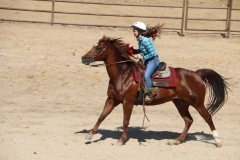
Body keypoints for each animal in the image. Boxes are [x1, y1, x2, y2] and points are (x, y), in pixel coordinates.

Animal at [82, 35, 229, 147]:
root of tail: (196, 74)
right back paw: (177, 140)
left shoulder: (128, 102)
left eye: (98, 47)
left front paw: (121, 140)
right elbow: (102, 116)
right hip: (180, 103)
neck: (123, 75)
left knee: (207, 117)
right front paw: (90, 135)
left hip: (197, 103)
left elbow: (125, 121)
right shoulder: (112, 99)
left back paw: (218, 141)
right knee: (188, 120)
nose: (83, 58)